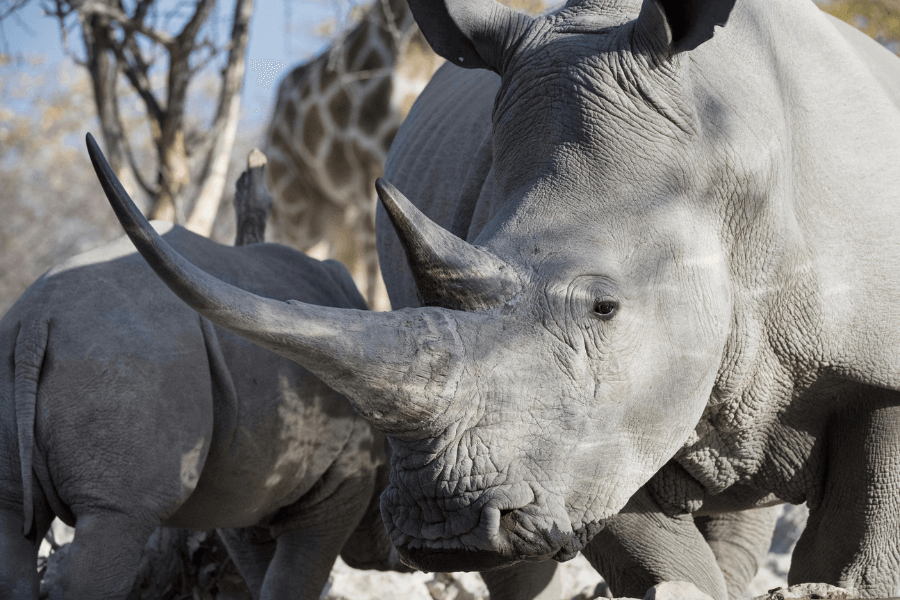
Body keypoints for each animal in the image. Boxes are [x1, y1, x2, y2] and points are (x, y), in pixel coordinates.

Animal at [87, 0, 900, 597]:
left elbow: (859, 546)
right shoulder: (596, 433)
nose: (442, 524)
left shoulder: (873, 366)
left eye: (605, 308)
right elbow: (650, 552)